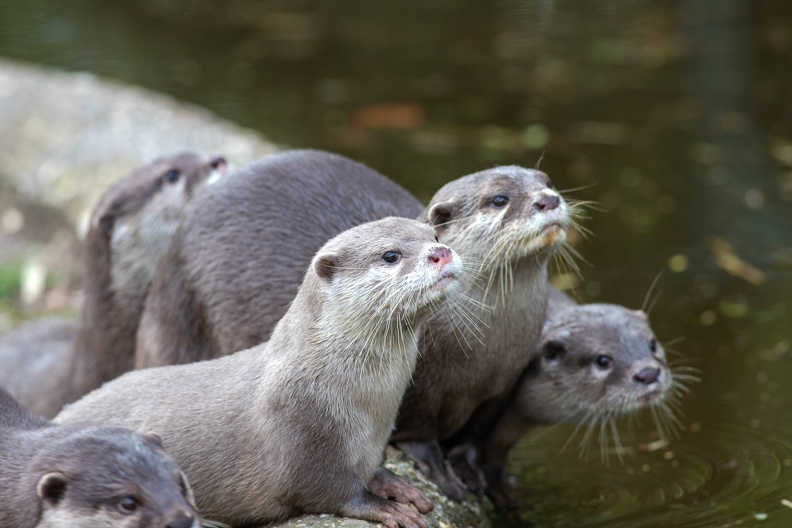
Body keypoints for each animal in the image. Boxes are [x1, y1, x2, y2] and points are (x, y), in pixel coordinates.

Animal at [55, 218, 460, 528]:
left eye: (435, 235)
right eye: (391, 255)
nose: (441, 252)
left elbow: (373, 471)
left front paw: (396, 485)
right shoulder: (302, 433)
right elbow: (332, 492)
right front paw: (387, 508)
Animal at [131, 151, 576, 502]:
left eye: (547, 182)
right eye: (499, 199)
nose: (549, 200)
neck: (487, 343)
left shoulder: (503, 384)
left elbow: (475, 438)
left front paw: (480, 477)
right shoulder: (421, 386)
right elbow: (419, 431)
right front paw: (440, 470)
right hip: (179, 317)